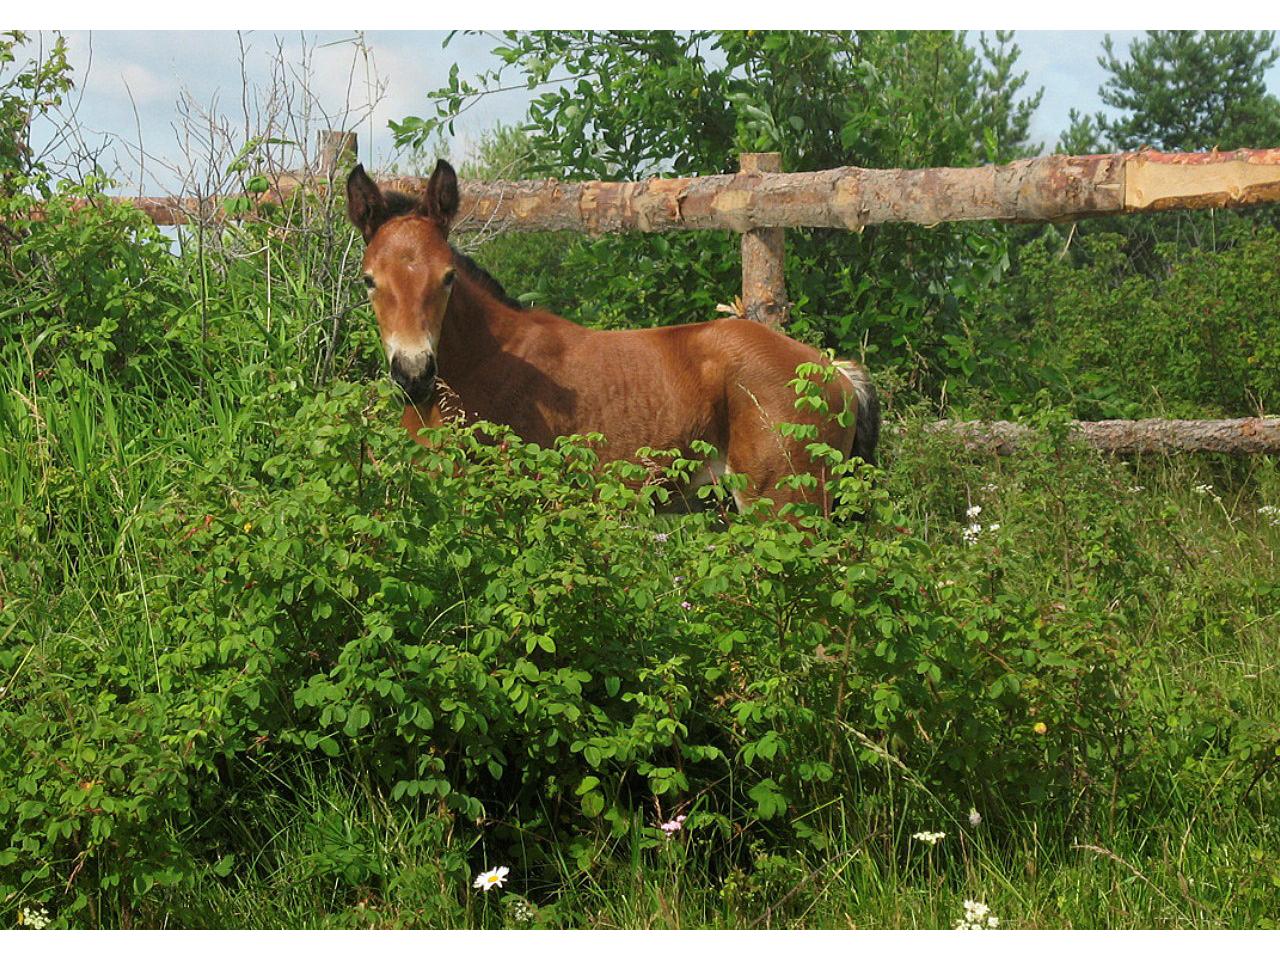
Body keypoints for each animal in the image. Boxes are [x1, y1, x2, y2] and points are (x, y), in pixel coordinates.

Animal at [345, 161, 875, 514]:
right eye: (369, 280)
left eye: (448, 277)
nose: (413, 374)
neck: (481, 367)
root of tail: (836, 372)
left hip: (785, 502)